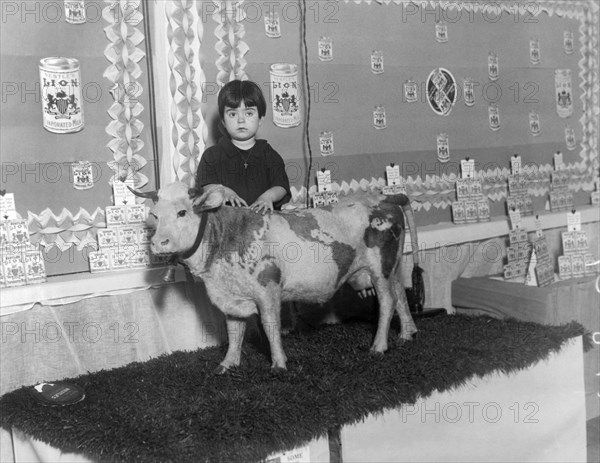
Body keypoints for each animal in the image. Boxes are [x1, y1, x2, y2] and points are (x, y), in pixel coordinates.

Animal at [133, 183, 420, 376]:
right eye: (155, 215)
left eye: (182, 213)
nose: (158, 242)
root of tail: (384, 196)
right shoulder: (231, 294)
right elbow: (234, 330)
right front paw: (227, 364)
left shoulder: (267, 288)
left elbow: (270, 326)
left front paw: (279, 363)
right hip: (392, 266)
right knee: (400, 294)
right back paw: (407, 333)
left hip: (380, 267)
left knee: (387, 302)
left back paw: (379, 346)